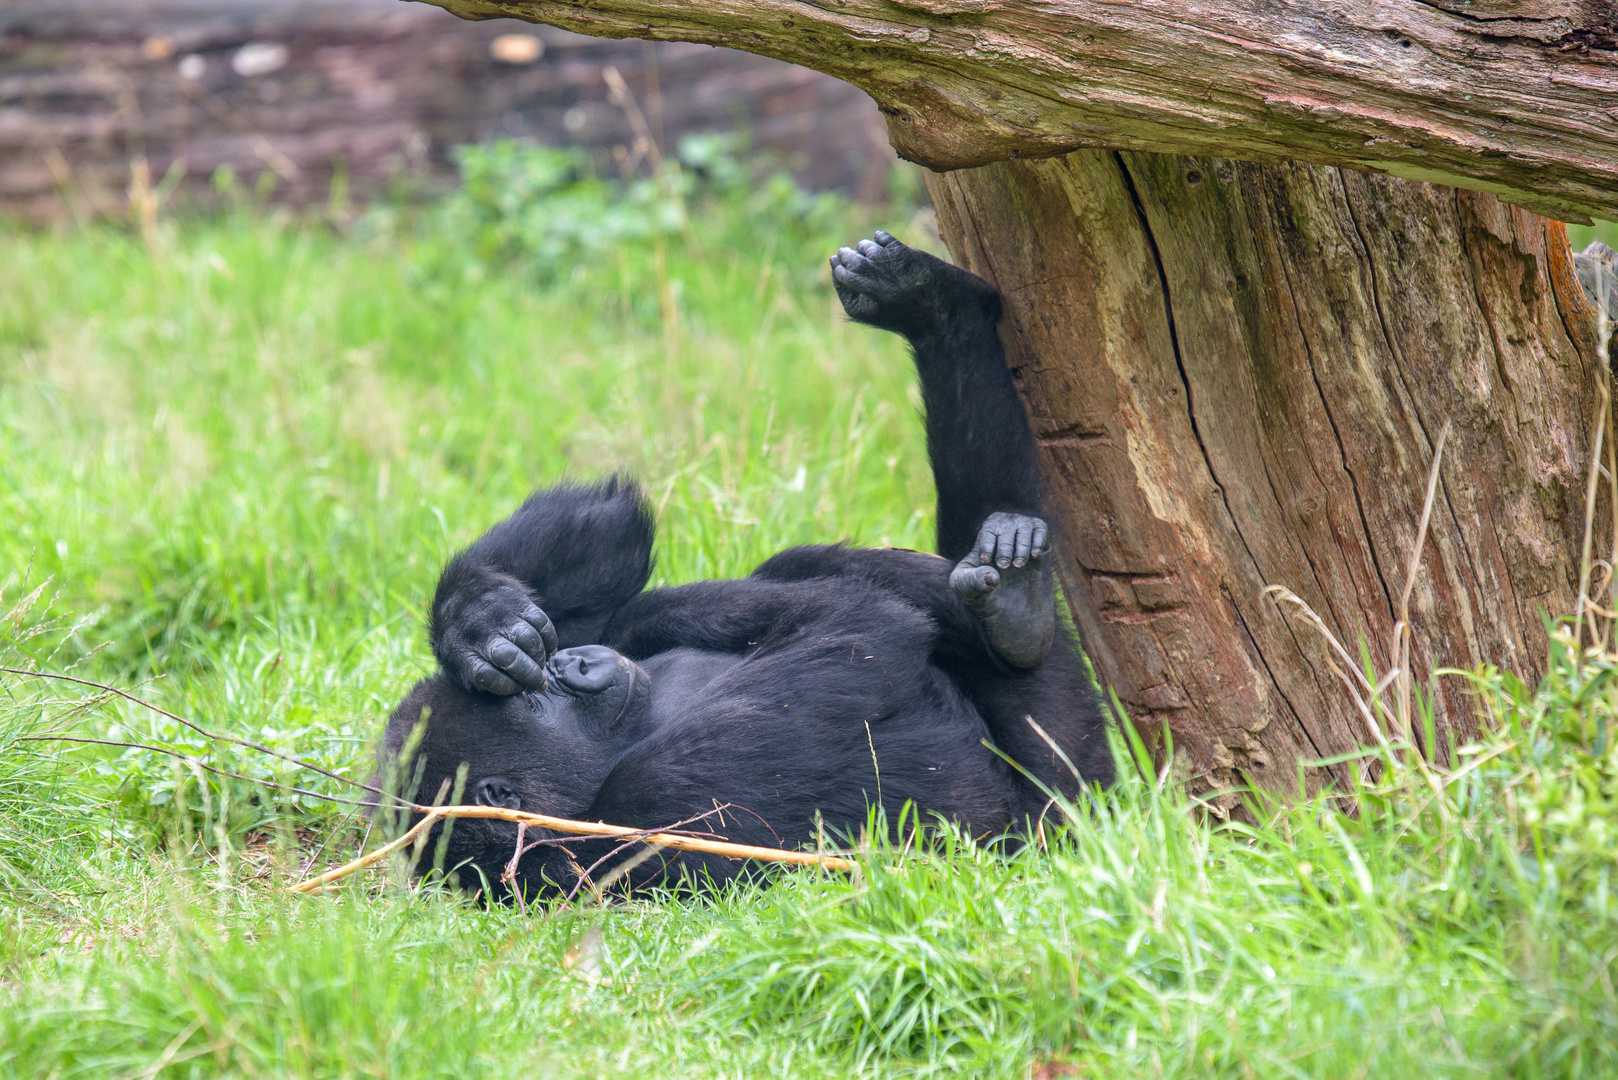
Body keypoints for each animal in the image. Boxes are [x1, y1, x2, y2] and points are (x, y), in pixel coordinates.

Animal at [376, 233, 1113, 900]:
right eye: (538, 700)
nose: (571, 664)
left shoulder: (617, 637)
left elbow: (612, 544)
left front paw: (481, 622)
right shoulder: (656, 806)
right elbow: (862, 635)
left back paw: (938, 310)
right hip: (1065, 821)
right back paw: (1020, 617)